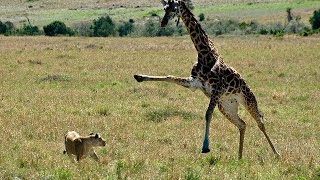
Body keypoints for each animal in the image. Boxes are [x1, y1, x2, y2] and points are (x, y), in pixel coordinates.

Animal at [134, 0, 278, 160]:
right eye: (165, 8)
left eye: (174, 9)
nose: (163, 22)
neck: (204, 53)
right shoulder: (193, 83)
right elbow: (169, 77)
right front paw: (139, 76)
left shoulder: (217, 89)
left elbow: (208, 114)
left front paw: (205, 147)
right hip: (226, 106)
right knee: (242, 124)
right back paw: (239, 157)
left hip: (248, 100)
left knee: (260, 122)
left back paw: (277, 153)